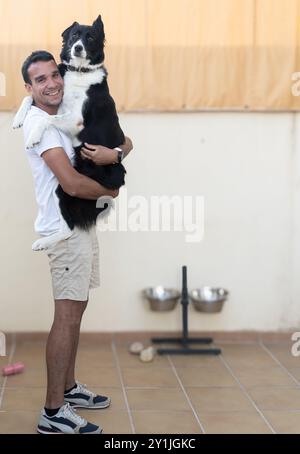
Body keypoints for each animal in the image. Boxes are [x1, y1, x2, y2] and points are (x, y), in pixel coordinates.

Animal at [13, 15, 126, 250]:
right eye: (74, 35)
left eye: (90, 37)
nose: (77, 47)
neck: (79, 72)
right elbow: (29, 97)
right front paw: (18, 118)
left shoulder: (76, 120)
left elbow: (46, 118)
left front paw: (33, 137)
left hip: (64, 188)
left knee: (69, 229)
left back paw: (45, 241)